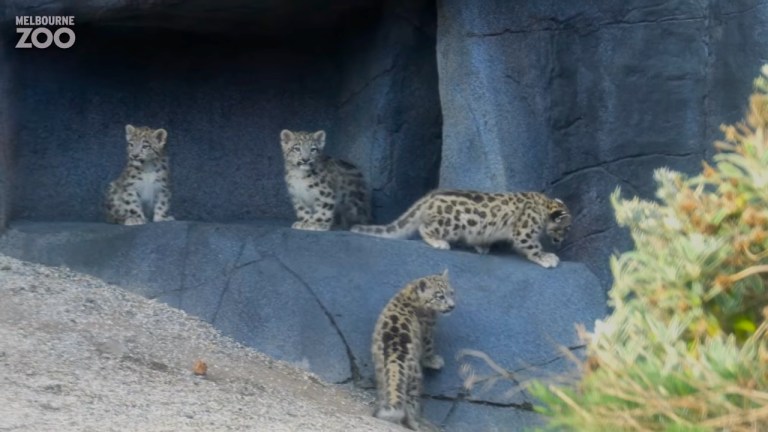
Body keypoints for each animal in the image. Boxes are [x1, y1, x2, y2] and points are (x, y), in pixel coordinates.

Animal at [352, 190, 570, 268]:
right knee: (424, 227)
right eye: (565, 228)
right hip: (451, 224)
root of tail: (429, 197)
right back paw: (439, 242)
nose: (562, 241)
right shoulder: (525, 231)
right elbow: (533, 247)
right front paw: (548, 258)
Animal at [371, 270, 455, 432]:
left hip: (382, 379)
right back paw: (417, 424)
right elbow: (429, 348)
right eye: (439, 296)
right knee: (409, 406)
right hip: (415, 381)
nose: (451, 306)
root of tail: (394, 361)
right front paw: (435, 361)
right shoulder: (428, 330)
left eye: (451, 292)